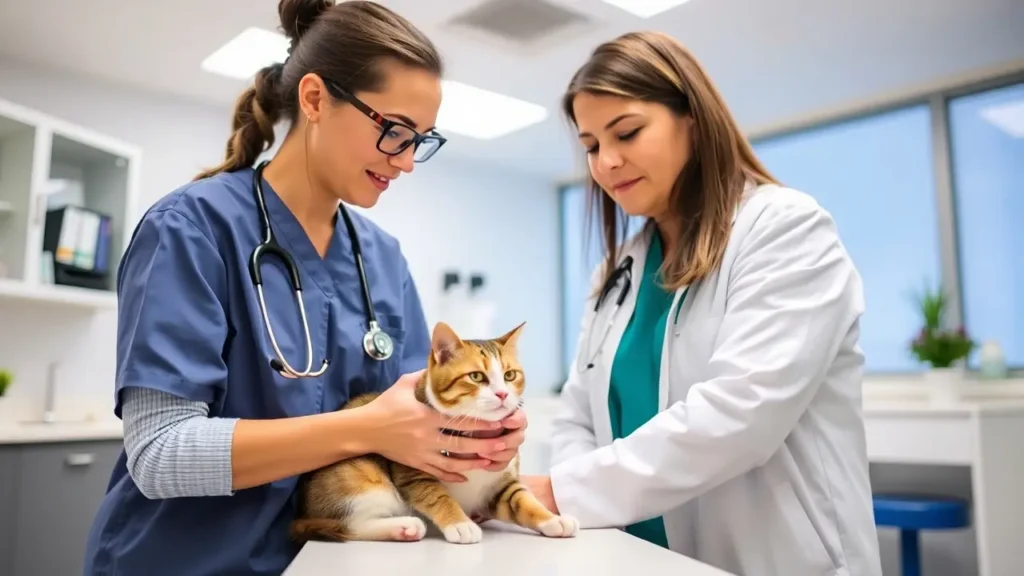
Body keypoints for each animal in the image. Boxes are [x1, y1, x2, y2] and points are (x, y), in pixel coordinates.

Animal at [290, 319, 577, 541]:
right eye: (476, 377)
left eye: (509, 375)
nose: (503, 394)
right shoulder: (413, 472)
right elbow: (436, 495)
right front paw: (459, 523)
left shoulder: (500, 482)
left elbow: (522, 498)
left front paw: (552, 519)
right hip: (358, 474)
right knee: (349, 525)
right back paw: (404, 526)